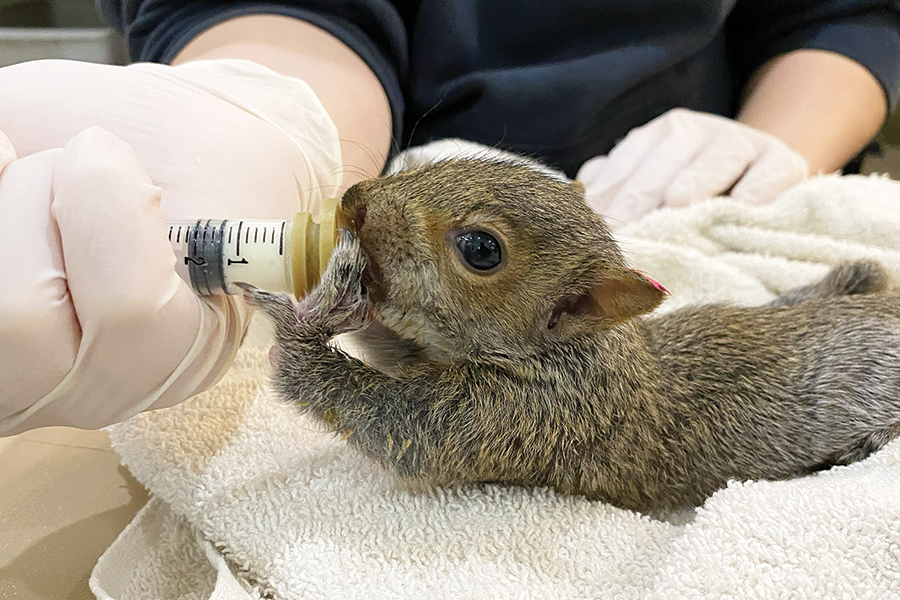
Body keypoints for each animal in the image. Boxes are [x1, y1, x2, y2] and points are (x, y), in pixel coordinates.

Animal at [240, 157, 900, 512]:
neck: (586, 348)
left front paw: (299, 332)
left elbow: (403, 427)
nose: (352, 202)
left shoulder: (532, 416)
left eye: (482, 250)